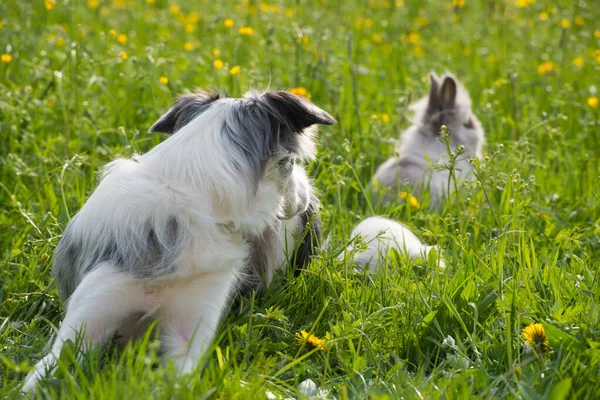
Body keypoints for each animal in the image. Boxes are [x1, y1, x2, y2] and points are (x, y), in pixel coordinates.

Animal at [23, 89, 336, 392]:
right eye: (291, 162)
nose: (310, 200)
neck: (188, 192)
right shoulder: (87, 317)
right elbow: (46, 371)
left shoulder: (190, 328)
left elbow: (179, 382)